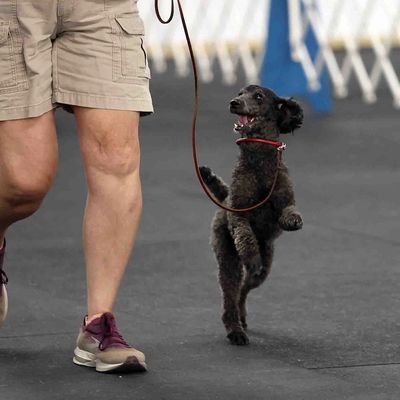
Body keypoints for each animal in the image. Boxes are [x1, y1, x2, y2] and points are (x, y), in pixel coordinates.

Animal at [200, 85, 304, 345]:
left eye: (258, 96)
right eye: (239, 93)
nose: (234, 103)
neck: (258, 161)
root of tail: (223, 198)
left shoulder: (285, 197)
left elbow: (289, 210)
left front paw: (294, 221)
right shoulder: (238, 214)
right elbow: (245, 235)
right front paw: (252, 255)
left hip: (265, 267)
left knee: (244, 289)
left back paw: (242, 315)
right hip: (227, 255)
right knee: (231, 292)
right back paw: (235, 329)